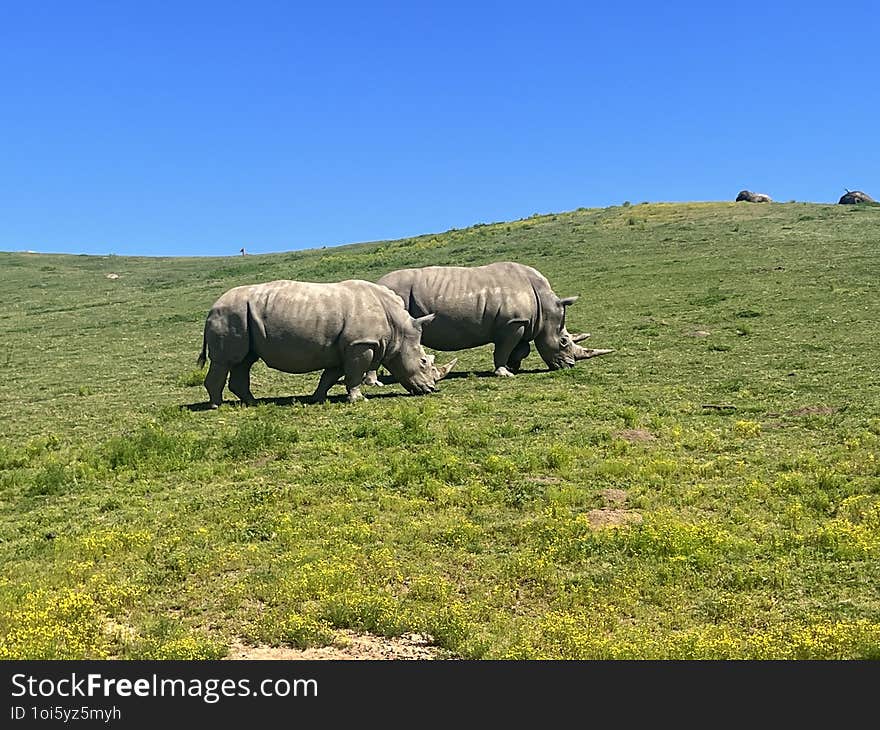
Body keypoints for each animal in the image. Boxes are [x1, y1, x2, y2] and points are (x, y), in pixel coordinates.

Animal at [198, 278, 454, 406]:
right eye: (423, 362)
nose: (430, 389)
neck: (398, 329)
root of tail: (212, 307)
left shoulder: (345, 347)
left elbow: (330, 375)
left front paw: (318, 398)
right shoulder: (361, 344)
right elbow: (354, 375)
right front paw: (358, 400)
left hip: (242, 316)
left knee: (244, 361)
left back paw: (253, 403)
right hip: (230, 313)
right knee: (225, 361)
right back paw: (217, 405)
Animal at [364, 258, 612, 382]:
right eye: (563, 341)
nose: (569, 366)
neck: (545, 304)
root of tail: (378, 283)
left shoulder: (521, 323)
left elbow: (521, 349)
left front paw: (514, 366)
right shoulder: (513, 323)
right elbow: (503, 349)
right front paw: (504, 373)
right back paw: (376, 382)